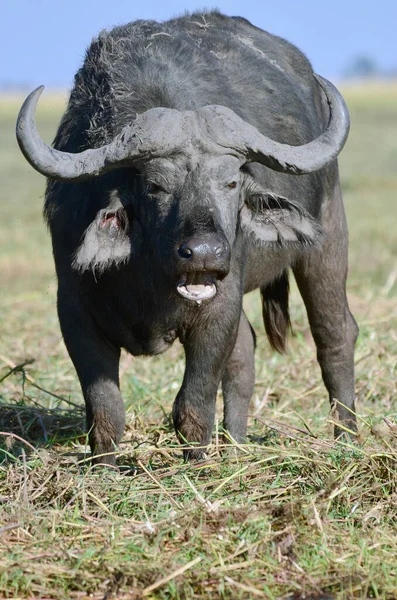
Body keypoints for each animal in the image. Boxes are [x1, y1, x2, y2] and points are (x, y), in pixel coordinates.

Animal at [15, 12, 358, 464]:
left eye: (231, 182)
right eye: (155, 186)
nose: (204, 254)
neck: (148, 277)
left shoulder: (220, 306)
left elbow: (193, 404)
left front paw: (196, 461)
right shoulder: (73, 309)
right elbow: (106, 408)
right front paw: (103, 464)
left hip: (326, 239)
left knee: (334, 334)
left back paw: (348, 439)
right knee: (245, 352)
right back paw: (235, 444)